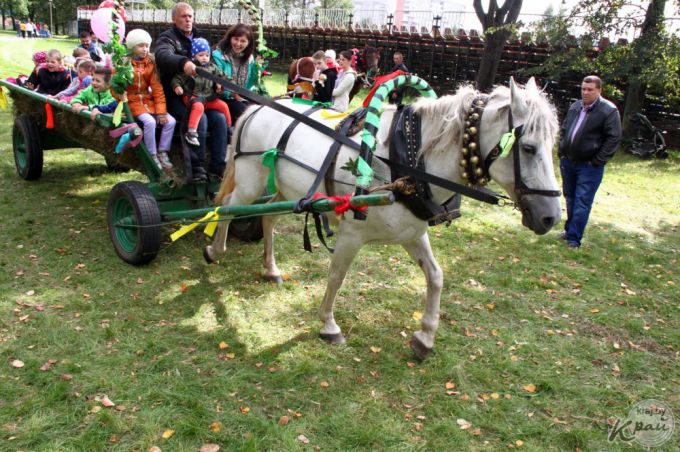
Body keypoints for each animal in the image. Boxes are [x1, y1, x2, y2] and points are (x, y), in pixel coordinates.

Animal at [205, 77, 560, 360]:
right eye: (528, 148)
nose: (551, 217)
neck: (406, 164)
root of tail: (257, 109)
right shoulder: (351, 234)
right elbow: (336, 276)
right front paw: (329, 325)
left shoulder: (412, 233)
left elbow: (436, 276)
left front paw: (425, 336)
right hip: (251, 181)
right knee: (227, 207)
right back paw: (214, 250)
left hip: (284, 189)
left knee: (267, 219)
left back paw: (271, 269)